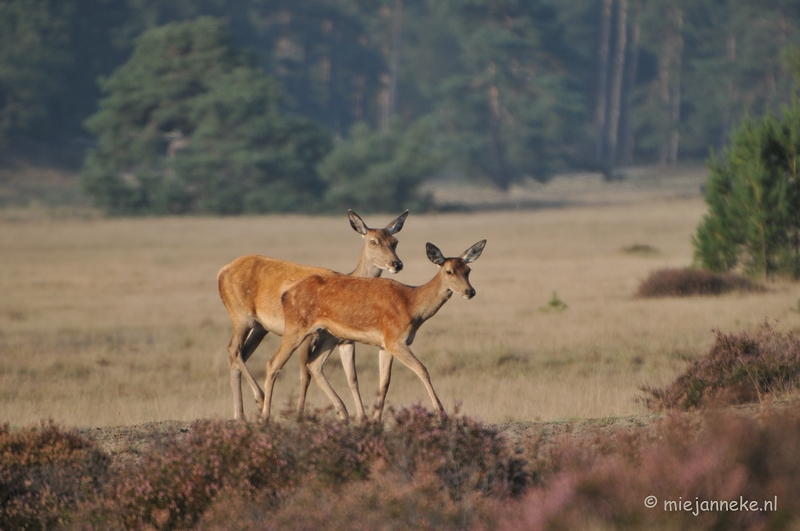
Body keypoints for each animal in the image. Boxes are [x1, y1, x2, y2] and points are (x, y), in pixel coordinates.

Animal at [217, 210, 410, 422]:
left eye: (395, 241)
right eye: (373, 241)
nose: (396, 264)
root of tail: (221, 272)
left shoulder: (345, 340)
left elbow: (352, 377)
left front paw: (360, 416)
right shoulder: (311, 335)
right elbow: (306, 374)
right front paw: (301, 414)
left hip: (260, 328)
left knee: (238, 356)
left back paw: (241, 415)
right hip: (241, 316)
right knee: (233, 350)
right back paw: (258, 400)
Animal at [262, 241, 488, 424]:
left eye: (468, 269)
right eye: (449, 271)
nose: (470, 291)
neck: (412, 305)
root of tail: (287, 292)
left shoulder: (385, 344)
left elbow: (384, 382)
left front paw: (375, 420)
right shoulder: (395, 339)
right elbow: (422, 369)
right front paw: (442, 414)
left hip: (329, 335)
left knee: (313, 364)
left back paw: (343, 413)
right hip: (295, 327)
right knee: (273, 363)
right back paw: (265, 418)